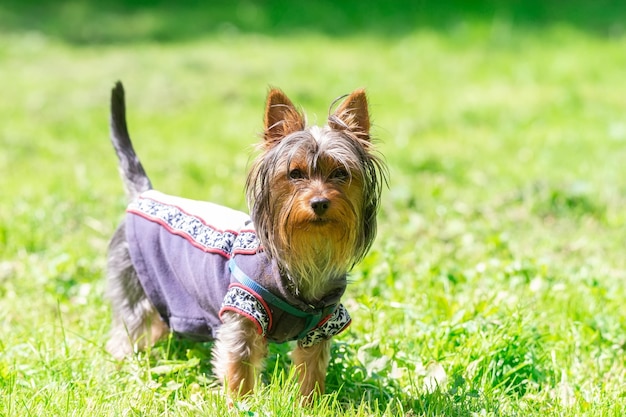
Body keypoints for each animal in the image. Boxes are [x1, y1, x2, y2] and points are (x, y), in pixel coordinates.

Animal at [107, 80, 386, 400]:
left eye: (340, 173)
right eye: (295, 173)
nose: (319, 202)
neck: (305, 253)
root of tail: (145, 194)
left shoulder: (322, 327)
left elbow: (311, 371)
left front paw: (310, 403)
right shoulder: (243, 313)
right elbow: (239, 367)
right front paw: (241, 403)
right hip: (133, 285)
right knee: (126, 332)